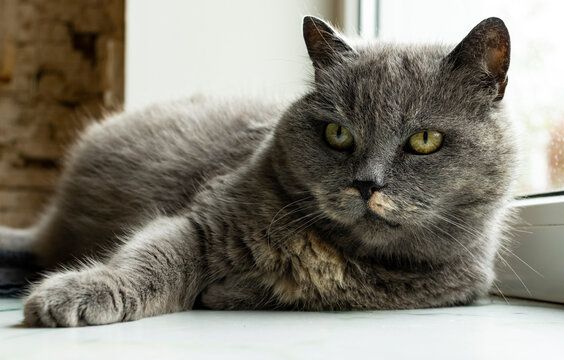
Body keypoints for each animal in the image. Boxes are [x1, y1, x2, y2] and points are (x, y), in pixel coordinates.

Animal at [0, 16, 516, 326]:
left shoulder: (449, 288)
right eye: (337, 134)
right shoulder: (203, 222)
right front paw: (76, 293)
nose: (366, 183)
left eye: (424, 141)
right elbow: (148, 259)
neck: (335, 254)